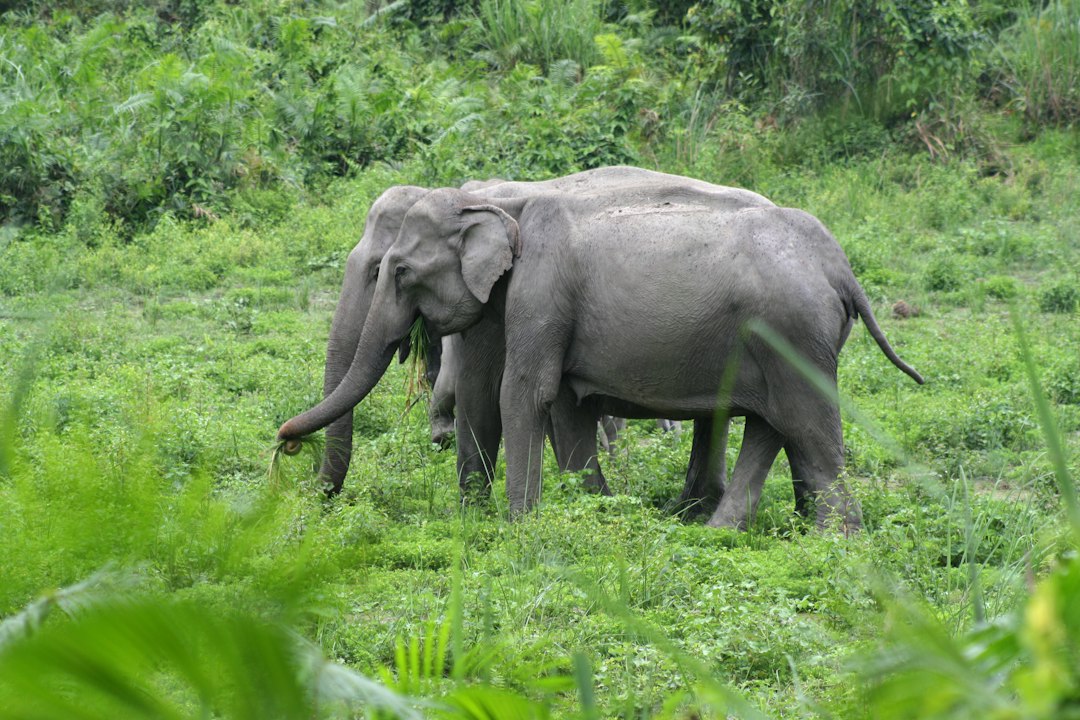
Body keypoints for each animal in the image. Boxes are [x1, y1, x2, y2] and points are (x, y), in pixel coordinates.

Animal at [279, 181, 923, 530]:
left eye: (398, 272)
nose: (285, 444)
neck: (499, 199)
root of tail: (840, 264)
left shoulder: (542, 288)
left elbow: (523, 391)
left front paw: (519, 525)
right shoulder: (505, 300)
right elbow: (524, 398)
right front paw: (509, 514)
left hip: (794, 332)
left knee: (806, 426)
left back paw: (832, 540)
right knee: (772, 423)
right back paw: (718, 527)